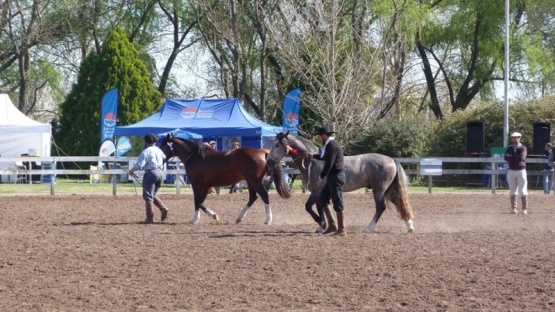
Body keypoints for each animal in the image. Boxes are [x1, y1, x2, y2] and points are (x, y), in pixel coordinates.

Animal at [160, 134, 292, 224]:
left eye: (163, 145)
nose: (161, 159)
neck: (195, 156)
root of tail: (262, 152)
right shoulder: (206, 186)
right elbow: (200, 201)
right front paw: (211, 215)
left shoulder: (196, 184)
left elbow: (197, 201)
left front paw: (196, 218)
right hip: (250, 182)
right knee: (253, 197)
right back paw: (239, 217)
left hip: (255, 181)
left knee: (264, 195)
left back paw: (268, 219)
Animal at [268, 130, 414, 233]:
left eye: (277, 145)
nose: (269, 161)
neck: (314, 162)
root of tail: (392, 160)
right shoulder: (321, 192)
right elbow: (322, 206)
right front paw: (324, 226)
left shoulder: (317, 190)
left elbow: (309, 206)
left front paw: (321, 223)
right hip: (387, 191)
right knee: (398, 203)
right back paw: (410, 226)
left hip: (379, 190)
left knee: (381, 207)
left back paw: (368, 228)